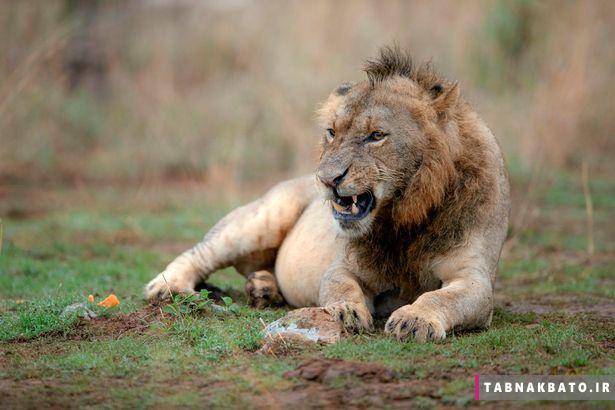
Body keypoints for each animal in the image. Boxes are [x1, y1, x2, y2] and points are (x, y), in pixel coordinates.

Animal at [144, 46, 510, 342]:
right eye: (332, 132)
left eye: (376, 136)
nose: (326, 179)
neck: (403, 218)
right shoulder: (343, 266)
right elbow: (338, 285)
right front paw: (346, 311)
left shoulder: (476, 280)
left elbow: (441, 296)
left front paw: (414, 319)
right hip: (262, 217)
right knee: (199, 253)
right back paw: (167, 288)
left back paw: (263, 288)